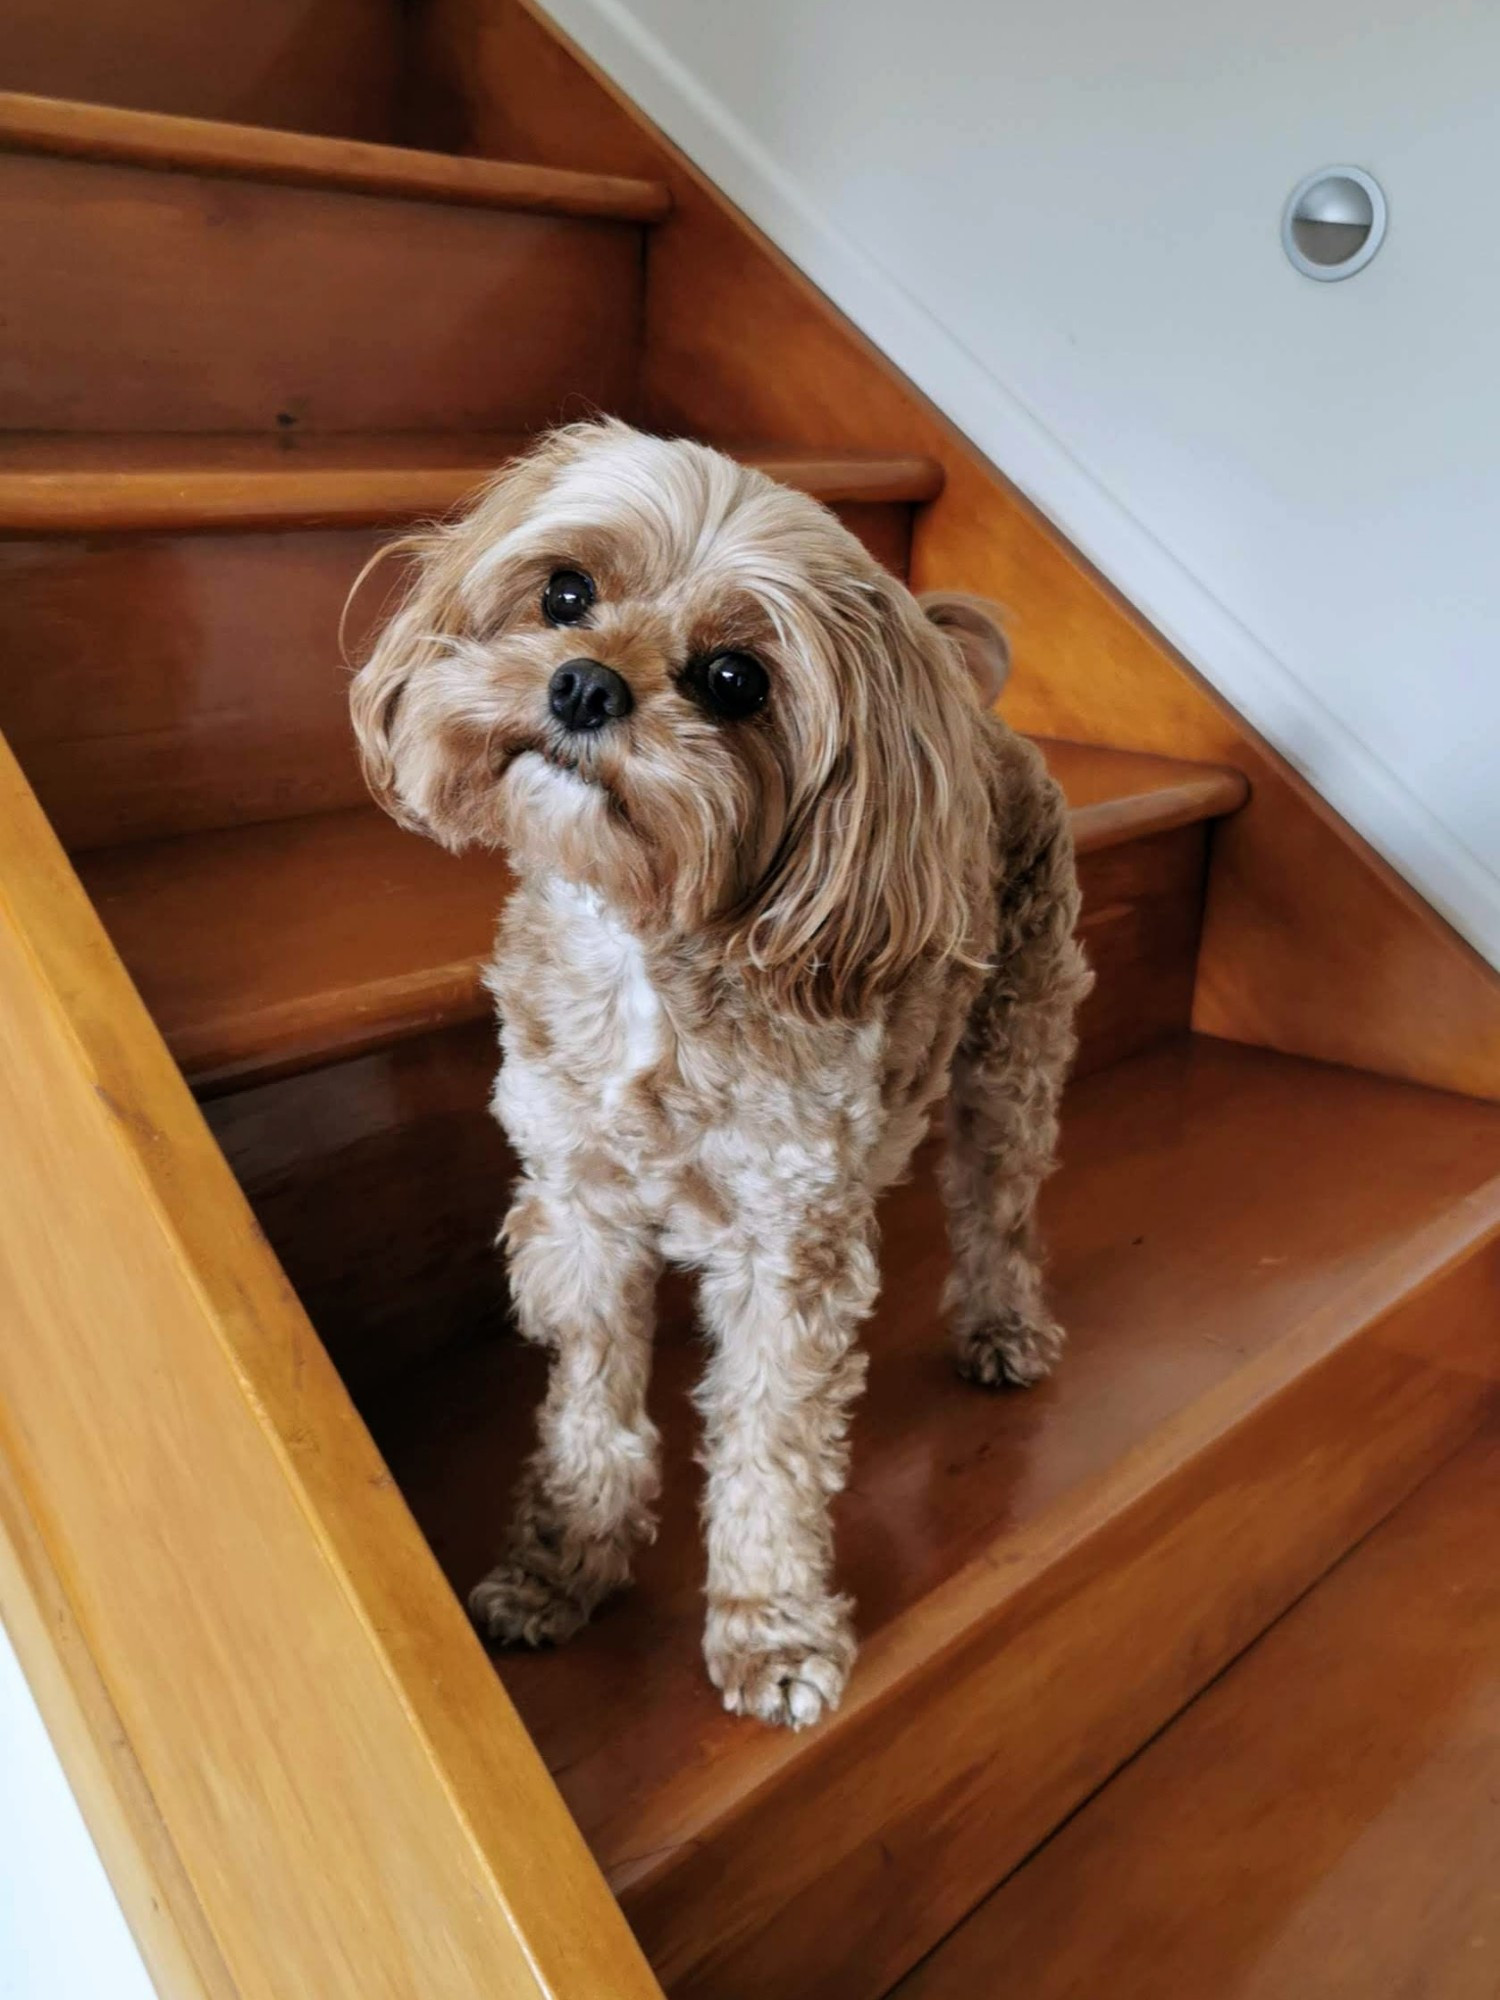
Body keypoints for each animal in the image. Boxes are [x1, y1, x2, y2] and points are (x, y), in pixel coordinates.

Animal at [358, 414, 1096, 1728]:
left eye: (736, 679)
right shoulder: (580, 1204)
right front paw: (562, 1566)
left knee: (999, 1203)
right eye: (565, 591)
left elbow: (770, 1451)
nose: (584, 683)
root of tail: (976, 719)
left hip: (1017, 1044)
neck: (650, 960)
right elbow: (591, 1411)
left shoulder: (784, 1249)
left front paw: (771, 1629)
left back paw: (1003, 1324)